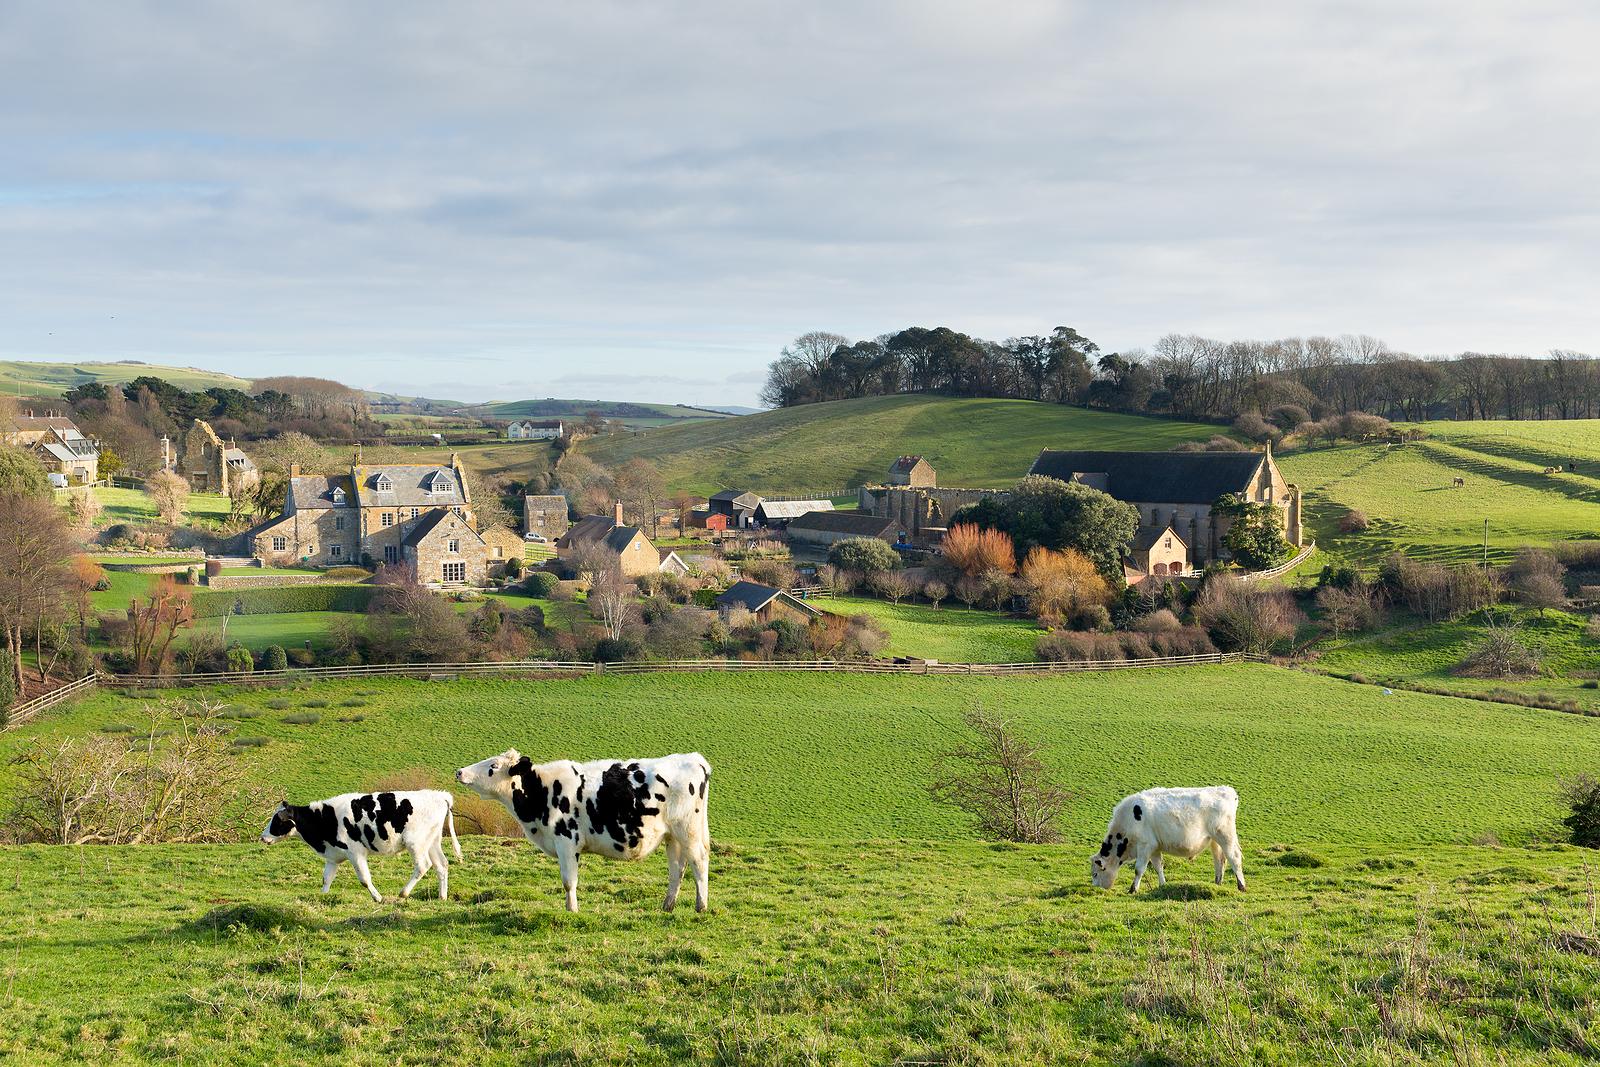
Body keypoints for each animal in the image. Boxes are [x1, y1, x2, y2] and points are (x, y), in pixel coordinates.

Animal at [260, 793, 464, 902]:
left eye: (277, 820)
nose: (262, 837)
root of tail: (440, 795)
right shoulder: (333, 856)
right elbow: (326, 878)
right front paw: (322, 897)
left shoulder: (355, 852)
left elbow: (364, 879)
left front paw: (378, 898)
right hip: (432, 841)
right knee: (442, 865)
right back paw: (442, 896)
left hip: (416, 842)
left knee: (423, 866)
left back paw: (403, 893)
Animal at [457, 748, 720, 915]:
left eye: (493, 765)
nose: (459, 771)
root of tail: (694, 759)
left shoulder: (566, 841)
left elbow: (568, 881)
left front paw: (572, 910)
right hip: (672, 836)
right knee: (677, 869)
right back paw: (667, 906)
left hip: (689, 831)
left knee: (698, 862)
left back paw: (701, 906)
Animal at [1088, 783, 1248, 895]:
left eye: (1095, 873)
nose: (1096, 889)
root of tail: (1226, 790)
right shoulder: (1154, 847)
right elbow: (1158, 866)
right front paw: (1163, 885)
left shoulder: (1145, 846)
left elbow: (1139, 869)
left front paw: (1133, 889)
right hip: (1214, 840)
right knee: (1219, 860)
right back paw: (1217, 883)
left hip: (1225, 836)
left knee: (1234, 857)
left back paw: (1241, 886)